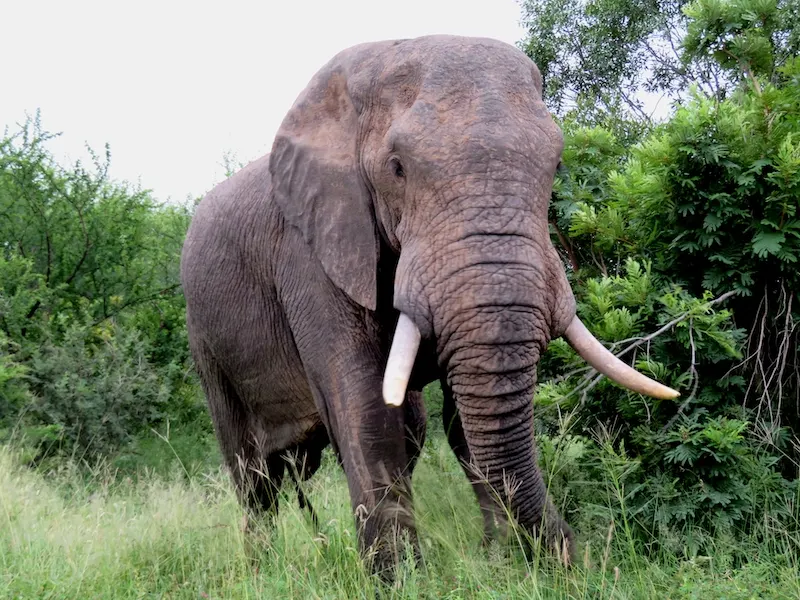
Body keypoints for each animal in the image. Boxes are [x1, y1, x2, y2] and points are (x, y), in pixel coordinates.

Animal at [180, 34, 678, 575]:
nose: (583, 559)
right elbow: (366, 410)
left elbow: (461, 422)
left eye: (557, 165)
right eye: (397, 168)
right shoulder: (310, 254)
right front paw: (404, 581)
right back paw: (262, 570)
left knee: (408, 432)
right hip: (206, 343)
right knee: (253, 477)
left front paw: (500, 565)